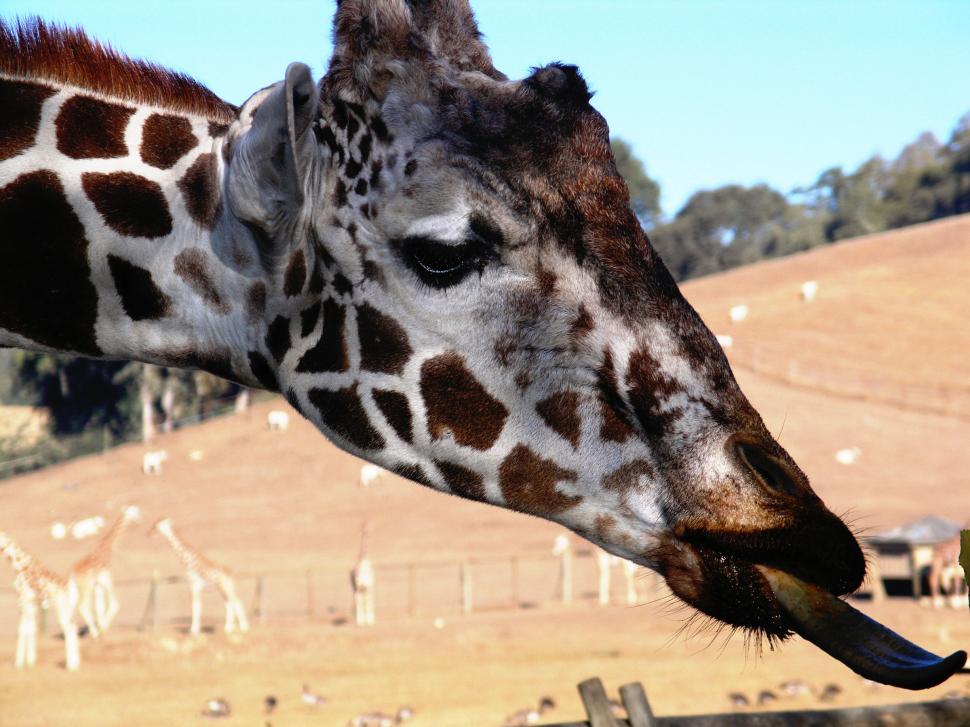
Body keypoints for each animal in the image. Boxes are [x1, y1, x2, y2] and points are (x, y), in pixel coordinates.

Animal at [0, 530, 80, 670]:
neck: (18, 564)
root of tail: (71, 589)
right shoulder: (30, 603)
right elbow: (30, 628)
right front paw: (30, 662)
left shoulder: (24, 600)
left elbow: (24, 629)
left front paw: (19, 664)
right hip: (69, 609)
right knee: (73, 627)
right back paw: (75, 663)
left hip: (61, 607)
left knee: (69, 628)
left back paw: (70, 666)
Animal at [69, 504, 141, 638]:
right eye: (135, 511)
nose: (139, 520)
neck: (105, 548)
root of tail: (72, 573)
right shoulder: (105, 577)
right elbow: (114, 603)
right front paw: (103, 630)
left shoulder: (97, 584)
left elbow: (99, 607)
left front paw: (103, 630)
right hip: (86, 586)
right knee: (83, 606)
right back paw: (94, 634)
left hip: (74, 588)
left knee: (69, 609)